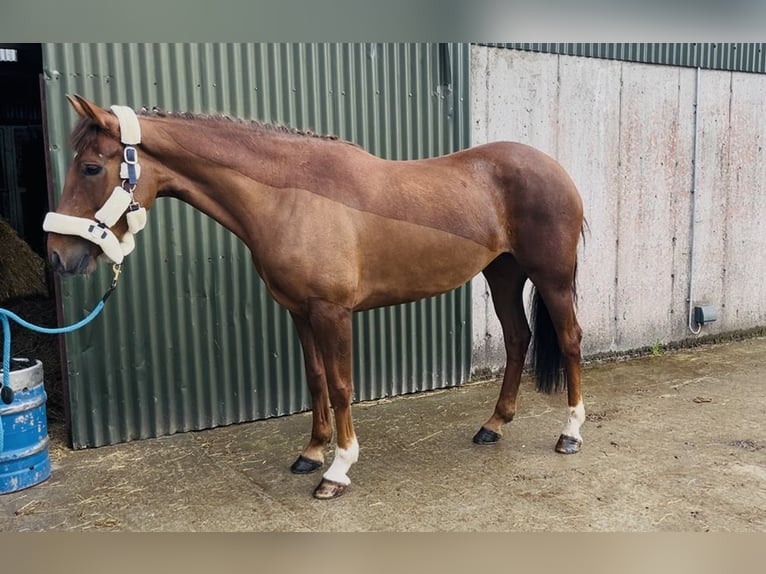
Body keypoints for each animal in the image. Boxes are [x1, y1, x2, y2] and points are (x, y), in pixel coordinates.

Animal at [45, 94, 586, 500]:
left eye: (90, 167)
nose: (56, 255)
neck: (291, 193)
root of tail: (556, 169)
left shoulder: (332, 312)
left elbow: (343, 385)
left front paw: (337, 470)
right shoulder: (300, 312)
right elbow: (316, 379)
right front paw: (311, 453)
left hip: (552, 279)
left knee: (570, 341)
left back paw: (570, 434)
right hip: (503, 275)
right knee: (517, 339)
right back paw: (494, 425)